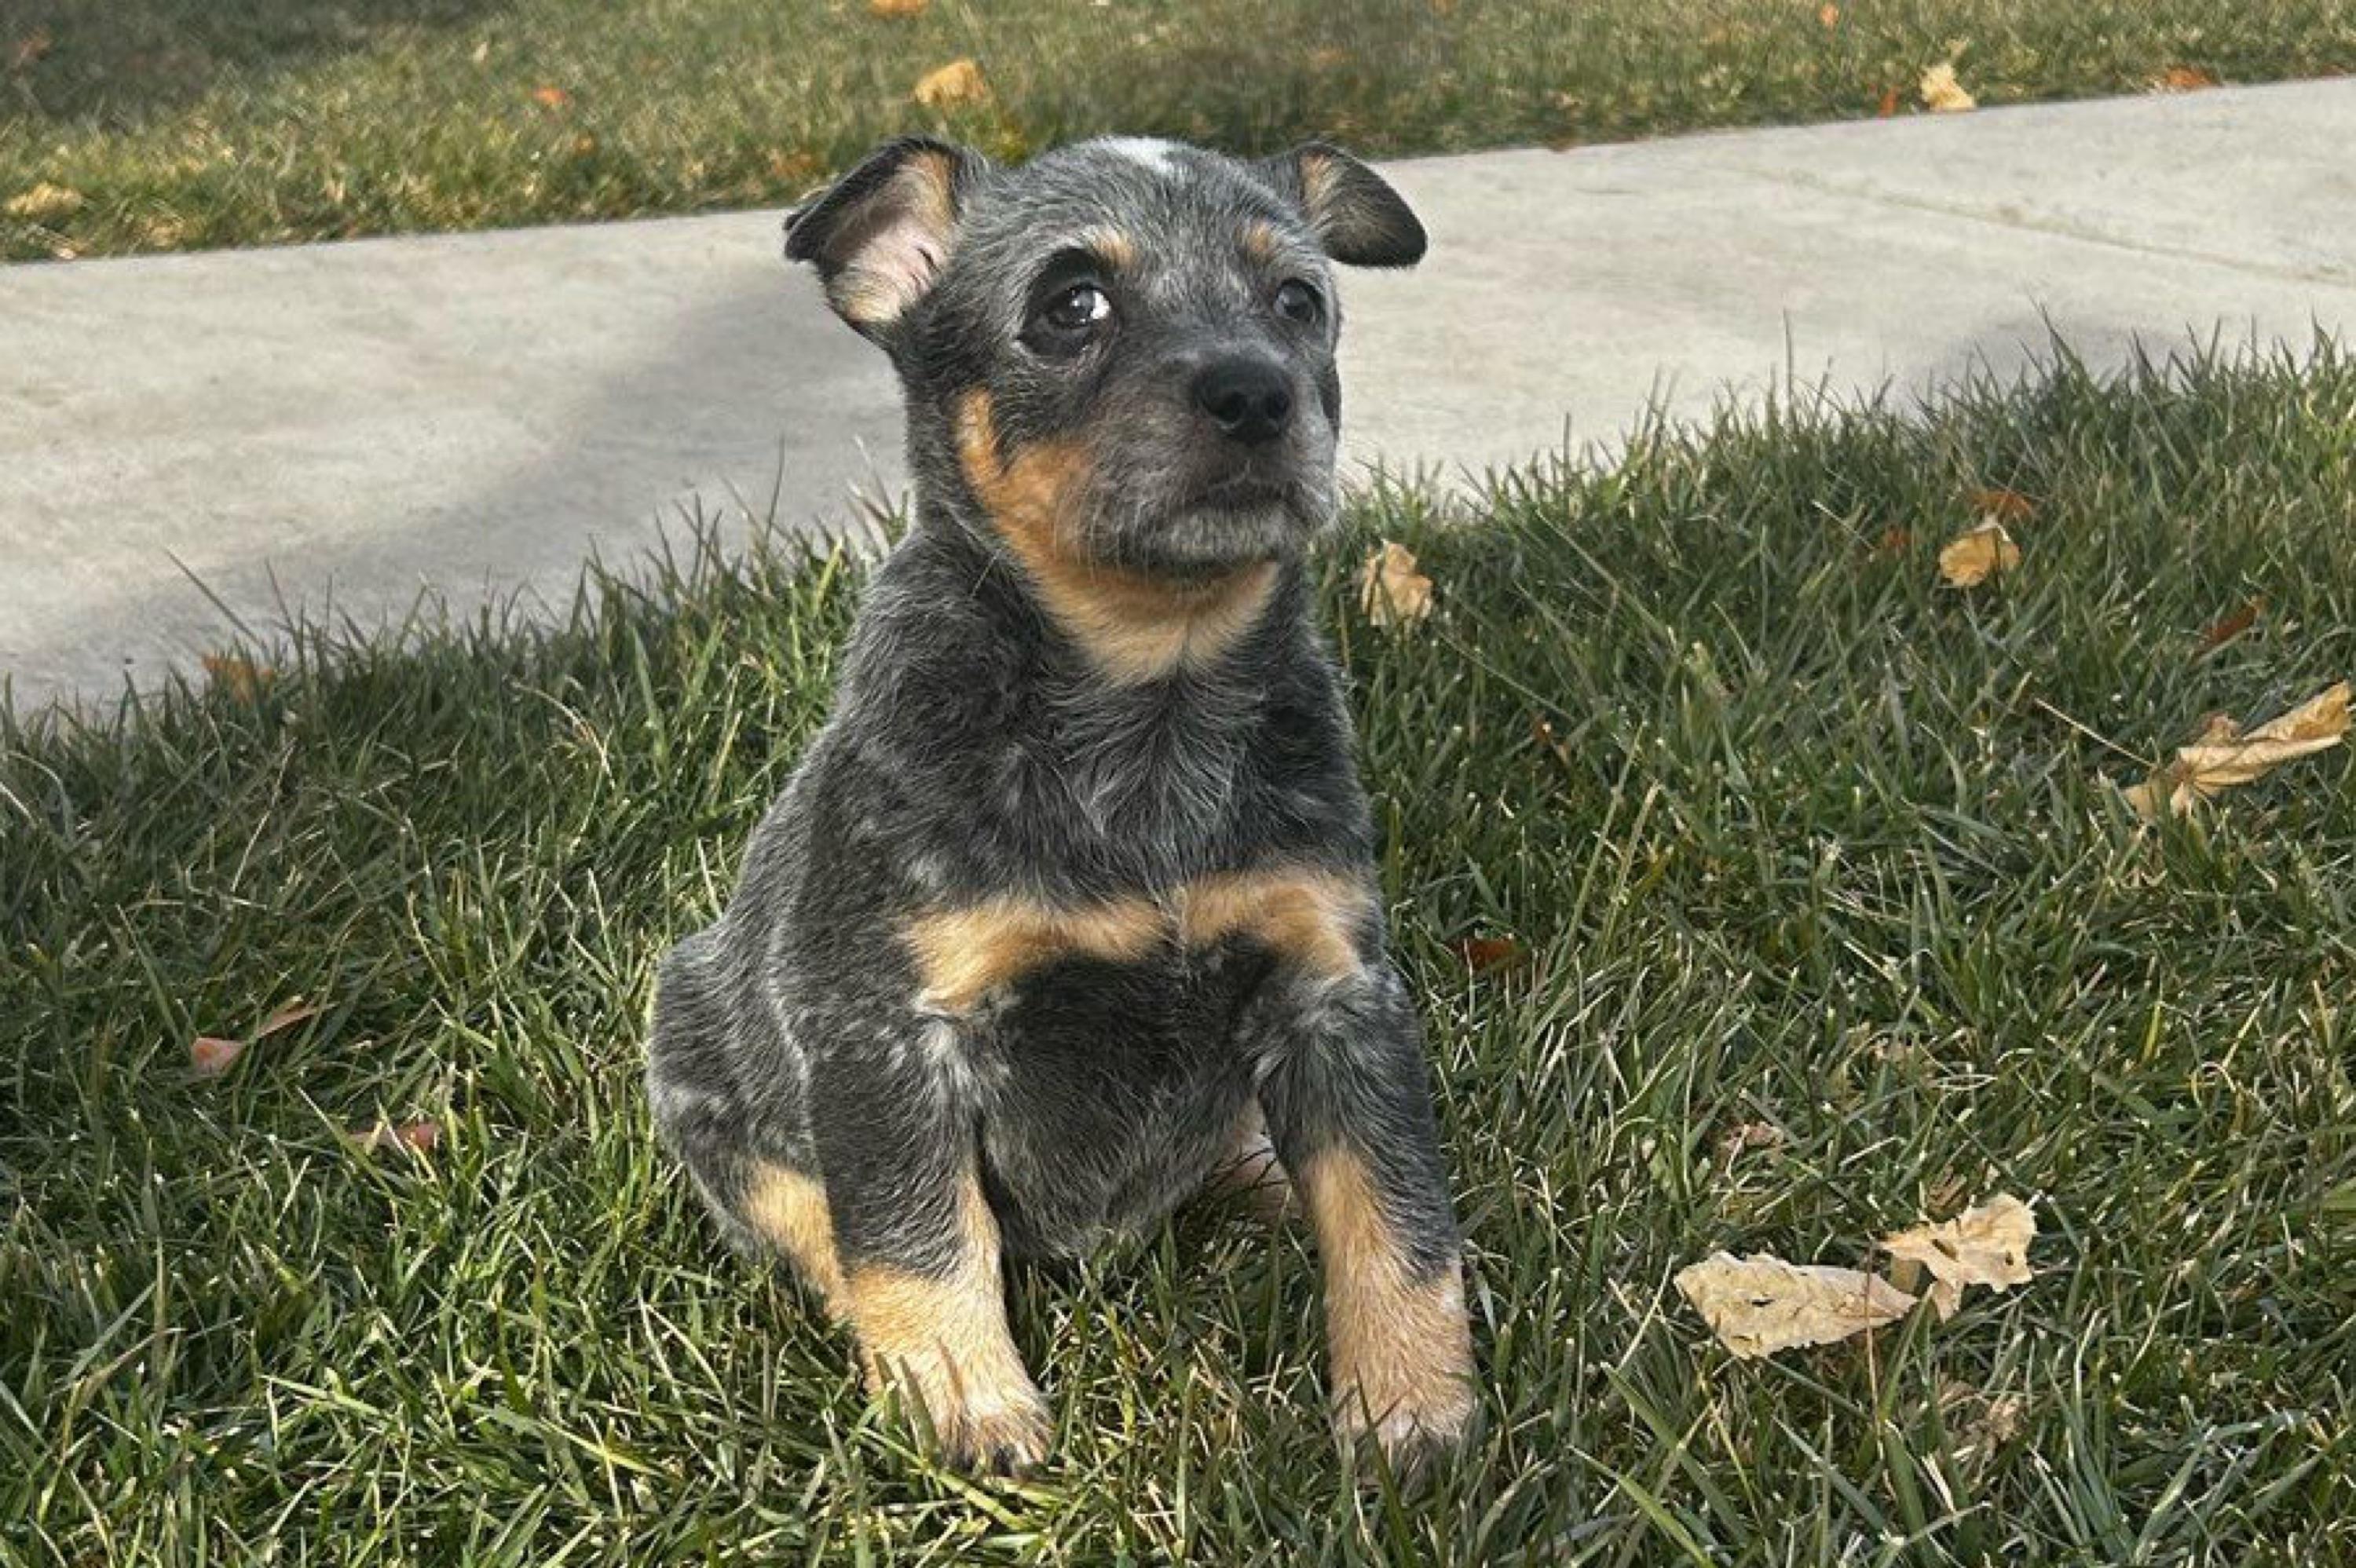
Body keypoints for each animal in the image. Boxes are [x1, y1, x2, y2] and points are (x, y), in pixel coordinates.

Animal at [646, 133, 1473, 1480]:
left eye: (1298, 302)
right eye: (1070, 304)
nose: (1255, 393)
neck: (1149, 705)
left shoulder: (1337, 987)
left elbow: (1397, 1216)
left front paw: (1411, 1415)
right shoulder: (889, 1027)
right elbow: (916, 1237)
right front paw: (965, 1403)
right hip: (693, 1038)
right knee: (806, 1211)